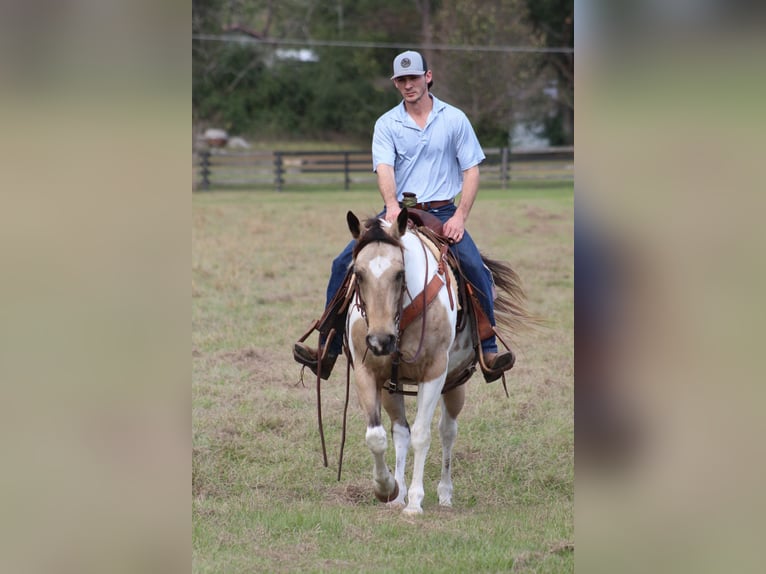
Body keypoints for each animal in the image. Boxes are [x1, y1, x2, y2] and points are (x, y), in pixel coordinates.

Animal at [344, 210, 532, 516]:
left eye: (399, 273)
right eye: (357, 274)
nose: (381, 340)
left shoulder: (433, 374)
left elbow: (423, 434)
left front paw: (415, 503)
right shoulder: (367, 373)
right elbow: (376, 436)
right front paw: (387, 489)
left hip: (455, 383)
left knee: (447, 431)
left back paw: (444, 494)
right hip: (391, 388)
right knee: (400, 431)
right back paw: (399, 493)